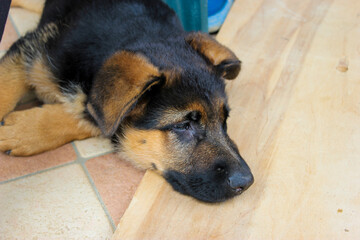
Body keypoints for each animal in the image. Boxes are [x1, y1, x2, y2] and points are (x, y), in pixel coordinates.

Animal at [0, 0, 253, 202]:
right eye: (183, 125)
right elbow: (6, 85)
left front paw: (23, 131)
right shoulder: (29, 50)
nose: (247, 181)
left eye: (224, 121)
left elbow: (90, 112)